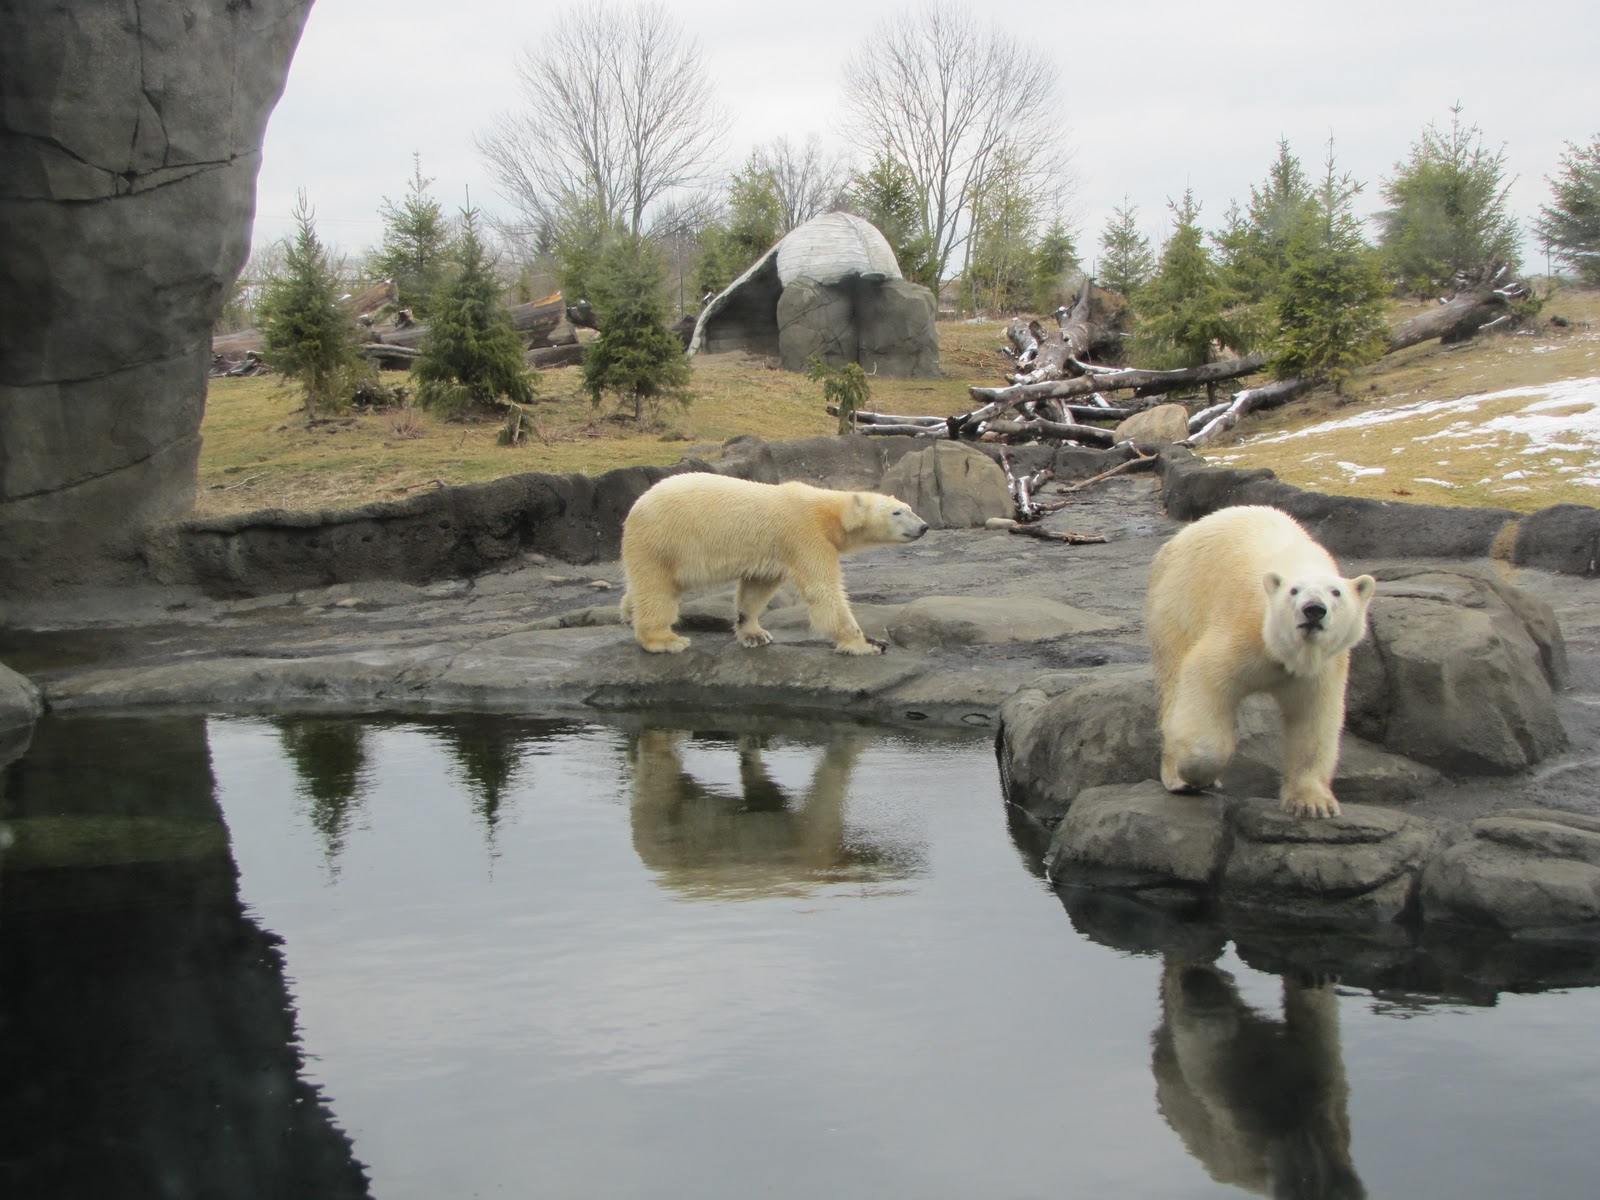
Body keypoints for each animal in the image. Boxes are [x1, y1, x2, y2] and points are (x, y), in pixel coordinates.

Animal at [618, 473, 928, 655]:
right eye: (897, 512)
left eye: (910, 508)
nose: (924, 526)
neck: (827, 513)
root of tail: (635, 506)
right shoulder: (805, 536)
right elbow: (823, 591)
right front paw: (869, 643)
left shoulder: (774, 549)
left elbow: (757, 588)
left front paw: (754, 633)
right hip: (663, 541)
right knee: (657, 590)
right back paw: (666, 640)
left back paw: (628, 612)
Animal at [1145, 505, 1376, 818]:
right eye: (1293, 591)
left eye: (1335, 592)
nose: (1314, 610)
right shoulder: (1243, 630)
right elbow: (1205, 679)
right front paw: (1198, 774)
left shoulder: (1323, 668)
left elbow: (1314, 719)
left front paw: (1312, 803)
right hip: (1179, 601)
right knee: (1173, 682)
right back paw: (1176, 777)